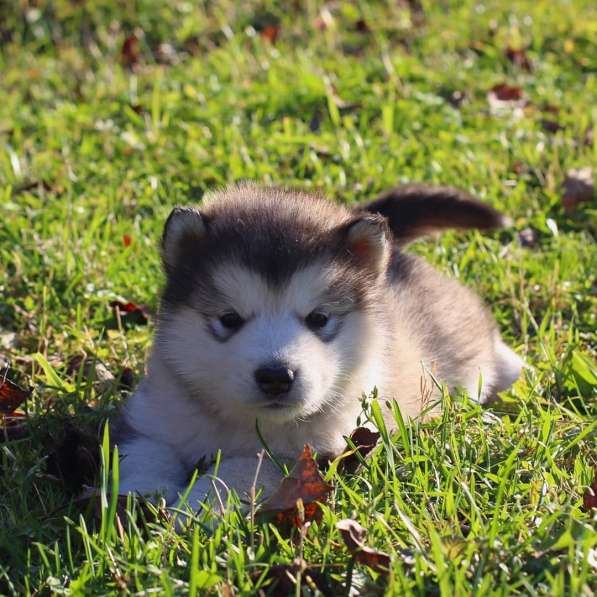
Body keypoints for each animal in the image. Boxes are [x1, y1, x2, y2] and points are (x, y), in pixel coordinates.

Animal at [113, 183, 520, 508]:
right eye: (229, 319)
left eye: (319, 318)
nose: (276, 377)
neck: (241, 421)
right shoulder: (155, 412)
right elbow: (142, 450)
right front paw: (140, 494)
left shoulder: (315, 451)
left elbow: (241, 469)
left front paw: (196, 507)